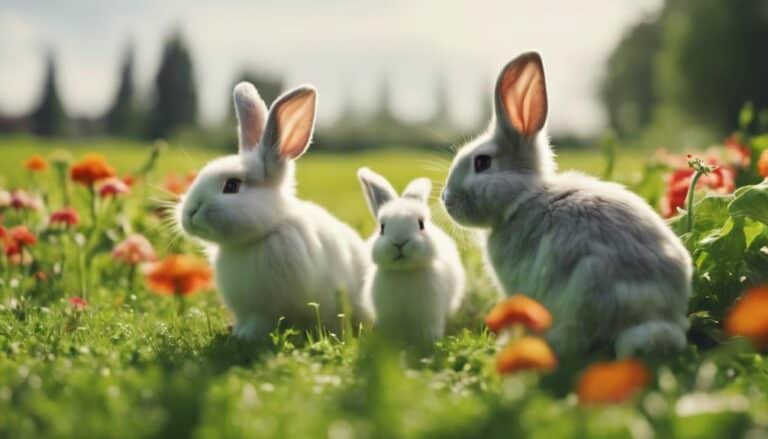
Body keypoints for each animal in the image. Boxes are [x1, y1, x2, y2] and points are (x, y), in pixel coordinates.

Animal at [177, 82, 372, 340]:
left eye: (232, 186)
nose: (189, 213)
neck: (258, 236)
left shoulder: (267, 311)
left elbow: (261, 323)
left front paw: (245, 336)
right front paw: (236, 332)